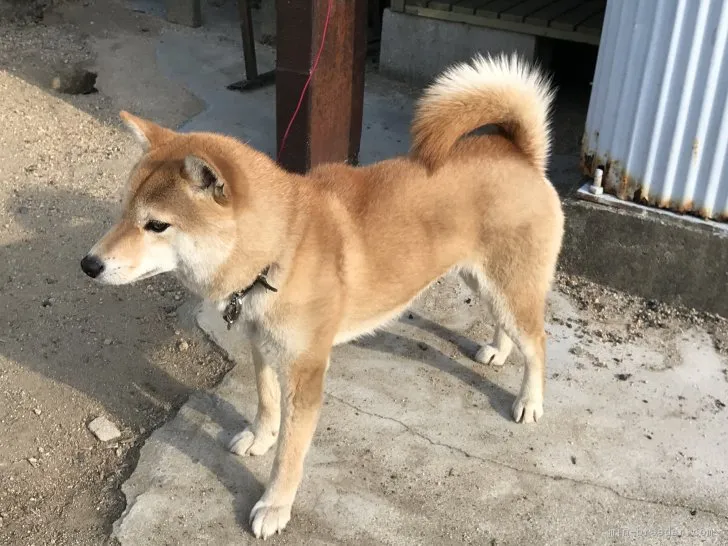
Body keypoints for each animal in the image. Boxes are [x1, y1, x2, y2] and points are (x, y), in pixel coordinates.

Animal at [82, 55, 564, 536]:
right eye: (123, 210)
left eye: (157, 225)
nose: (88, 264)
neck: (281, 250)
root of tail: (520, 154)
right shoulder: (261, 346)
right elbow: (265, 403)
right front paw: (260, 437)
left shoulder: (305, 374)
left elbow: (289, 456)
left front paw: (274, 505)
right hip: (484, 281)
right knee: (506, 324)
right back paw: (498, 351)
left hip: (511, 288)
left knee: (537, 344)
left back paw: (530, 401)